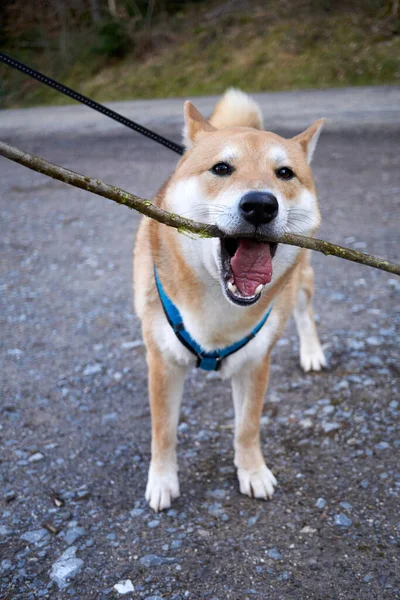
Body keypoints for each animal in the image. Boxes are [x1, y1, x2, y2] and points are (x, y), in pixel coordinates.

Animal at [133, 88, 326, 510]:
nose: (260, 204)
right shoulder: (161, 361)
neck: (219, 314)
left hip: (302, 280)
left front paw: (252, 472)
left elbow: (247, 427)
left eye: (284, 173)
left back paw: (312, 352)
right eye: (221, 168)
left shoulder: (255, 363)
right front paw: (162, 480)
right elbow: (163, 431)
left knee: (304, 312)